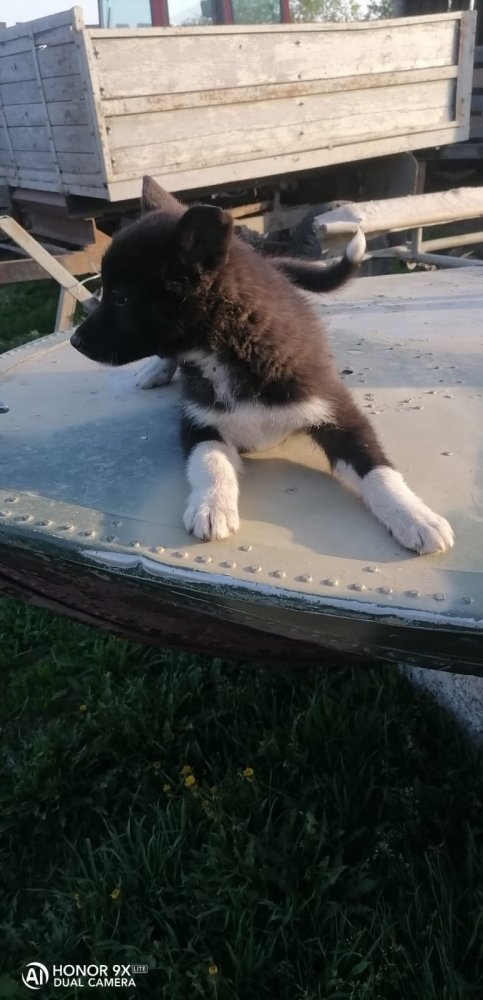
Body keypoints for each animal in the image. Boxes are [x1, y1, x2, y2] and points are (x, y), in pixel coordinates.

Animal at [70, 176, 454, 555]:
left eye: (120, 298)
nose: (74, 341)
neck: (231, 349)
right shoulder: (197, 419)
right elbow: (209, 460)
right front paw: (212, 505)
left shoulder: (335, 410)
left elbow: (377, 467)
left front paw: (414, 516)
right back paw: (157, 369)